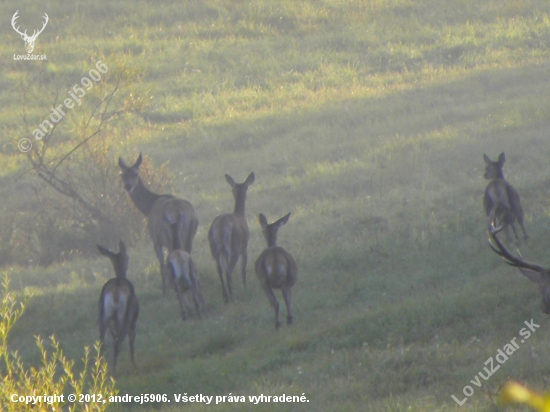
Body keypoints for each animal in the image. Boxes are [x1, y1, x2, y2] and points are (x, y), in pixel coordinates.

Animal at [97, 241, 140, 374]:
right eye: (127, 256)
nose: (128, 261)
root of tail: (115, 292)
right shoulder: (133, 323)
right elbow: (131, 343)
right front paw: (133, 364)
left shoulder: (111, 328)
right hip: (126, 317)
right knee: (119, 344)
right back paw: (115, 371)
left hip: (103, 316)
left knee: (102, 345)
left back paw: (102, 370)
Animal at [117, 153, 199, 294]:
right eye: (123, 175)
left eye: (135, 174)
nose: (128, 186)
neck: (148, 208)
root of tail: (179, 212)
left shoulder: (155, 239)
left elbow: (161, 265)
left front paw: (164, 290)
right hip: (190, 234)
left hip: (170, 236)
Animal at [209, 171, 256, 302]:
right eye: (246, 187)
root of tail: (221, 227)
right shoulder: (245, 247)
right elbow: (243, 268)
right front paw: (245, 287)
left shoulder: (224, 253)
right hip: (235, 245)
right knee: (229, 270)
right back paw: (231, 295)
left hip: (214, 247)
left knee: (220, 269)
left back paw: (225, 295)